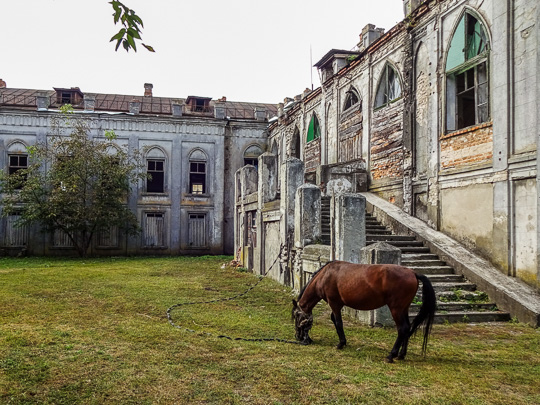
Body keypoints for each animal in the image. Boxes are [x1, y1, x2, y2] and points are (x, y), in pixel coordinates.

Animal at [294, 260, 436, 362]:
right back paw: (401, 354)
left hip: (396, 309)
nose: (298, 336)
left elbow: (338, 323)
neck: (325, 276)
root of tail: (412, 273)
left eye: (296, 316)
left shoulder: (334, 304)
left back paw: (391, 355)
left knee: (403, 328)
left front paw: (341, 343)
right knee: (408, 327)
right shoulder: (337, 305)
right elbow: (334, 320)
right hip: (403, 309)